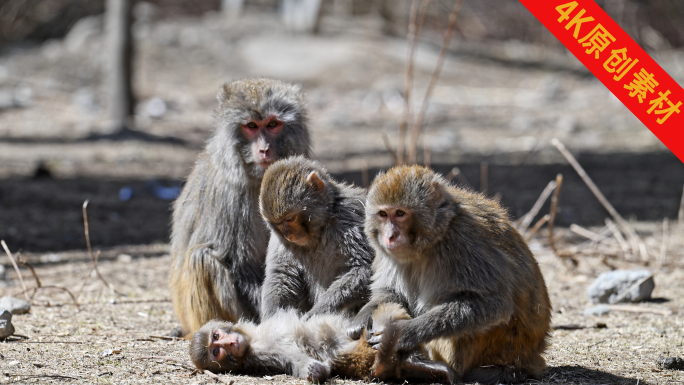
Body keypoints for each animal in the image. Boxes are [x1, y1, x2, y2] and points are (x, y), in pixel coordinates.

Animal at [170, 78, 312, 332]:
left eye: (273, 124)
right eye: (251, 126)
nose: (264, 149)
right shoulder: (229, 197)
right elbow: (238, 264)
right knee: (202, 258)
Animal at [188, 304, 454, 380]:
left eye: (216, 337)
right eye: (215, 352)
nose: (229, 345)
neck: (253, 340)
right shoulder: (262, 353)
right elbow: (299, 360)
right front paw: (316, 371)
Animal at [258, 155, 374, 318]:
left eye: (290, 219)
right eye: (279, 223)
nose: (288, 235)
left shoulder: (350, 215)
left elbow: (364, 267)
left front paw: (317, 312)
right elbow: (281, 274)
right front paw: (274, 319)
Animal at [350, 165, 552, 384]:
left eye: (400, 213)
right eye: (383, 214)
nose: (389, 236)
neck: (436, 235)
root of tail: (529, 356)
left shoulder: (462, 242)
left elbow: (494, 304)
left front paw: (404, 333)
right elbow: (390, 292)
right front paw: (362, 317)